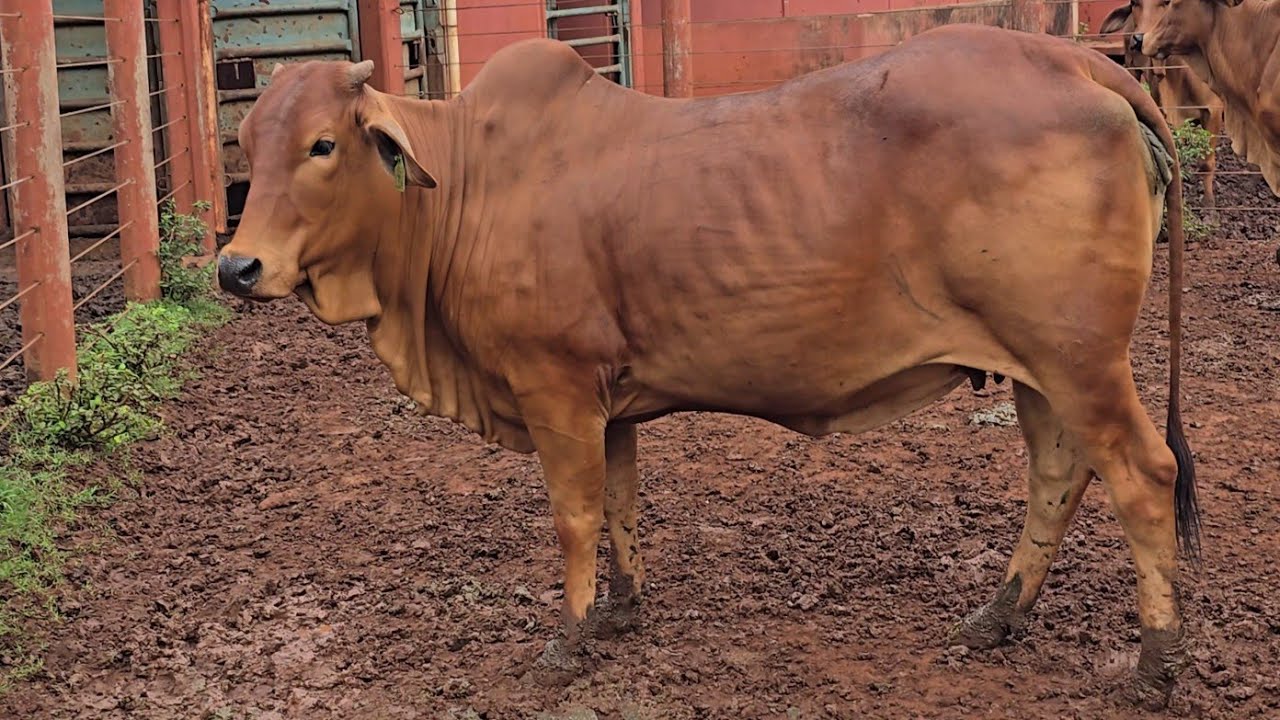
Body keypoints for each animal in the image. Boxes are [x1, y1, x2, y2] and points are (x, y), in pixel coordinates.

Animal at [216, 24, 1200, 709]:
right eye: (248, 144)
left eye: (322, 144)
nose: (236, 267)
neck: (465, 185)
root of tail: (1079, 62)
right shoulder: (606, 403)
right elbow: (619, 503)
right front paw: (619, 610)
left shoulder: (553, 387)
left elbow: (573, 516)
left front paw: (566, 641)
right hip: (1039, 371)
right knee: (1058, 477)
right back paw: (998, 616)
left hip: (1080, 361)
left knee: (1144, 477)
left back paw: (1155, 663)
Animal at [1103, 0, 1280, 199]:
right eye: (1134, 3)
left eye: (1166, 3)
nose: (1138, 39)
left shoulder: (1213, 111)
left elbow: (1206, 163)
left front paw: (1208, 202)